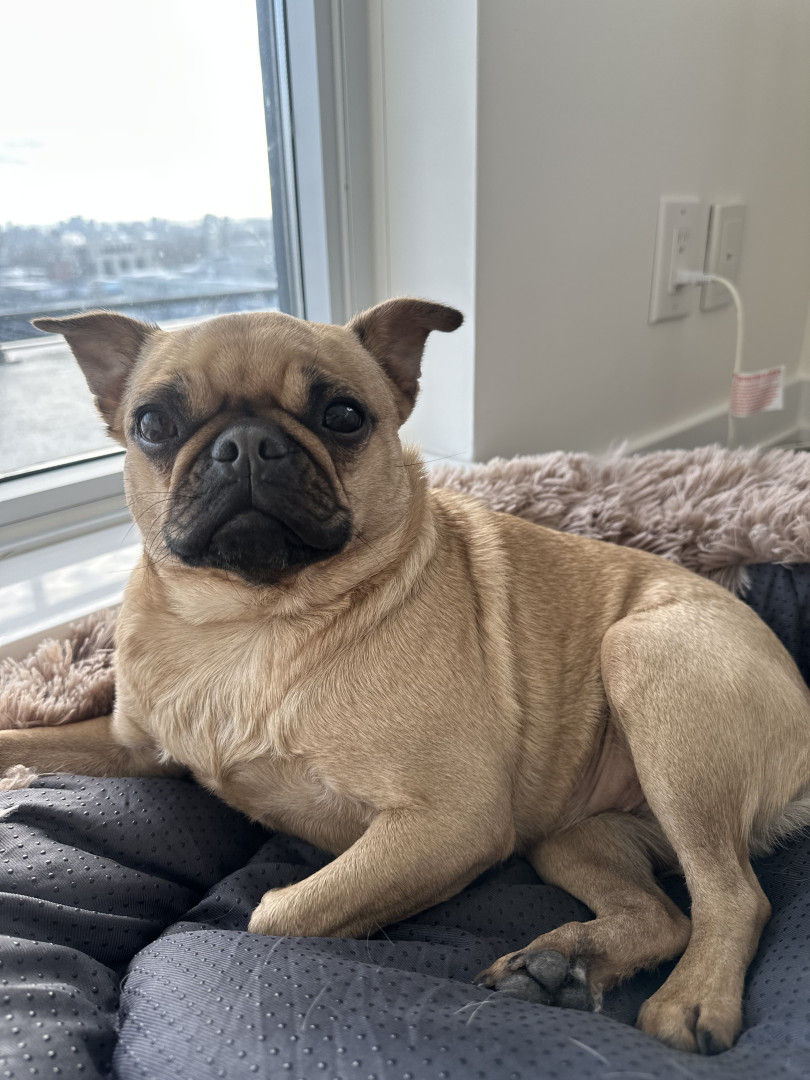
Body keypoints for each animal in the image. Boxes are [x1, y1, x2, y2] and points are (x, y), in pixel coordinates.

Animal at [2, 298, 810, 1055]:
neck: (249, 618)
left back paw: (691, 999)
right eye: (153, 424)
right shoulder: (131, 749)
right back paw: (561, 964)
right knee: (663, 915)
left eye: (343, 416)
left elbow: (280, 910)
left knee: (733, 898)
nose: (246, 444)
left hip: (648, 665)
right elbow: (30, 739)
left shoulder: (448, 825)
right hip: (577, 837)